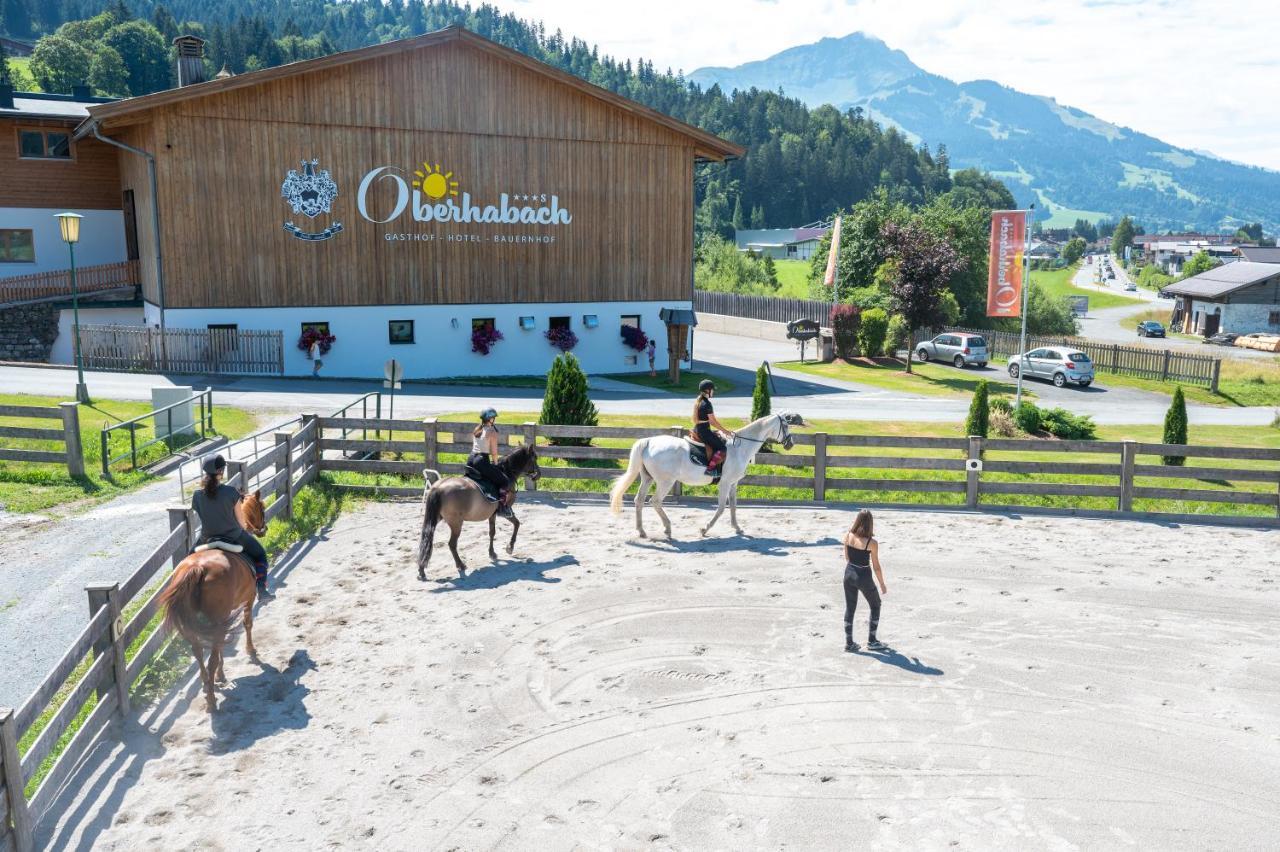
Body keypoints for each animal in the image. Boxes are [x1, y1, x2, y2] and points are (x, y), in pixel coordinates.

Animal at [162, 488, 267, 706]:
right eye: (262, 507)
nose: (264, 529)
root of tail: (197, 568)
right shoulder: (249, 598)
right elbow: (248, 624)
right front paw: (251, 651)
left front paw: (220, 675)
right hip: (217, 617)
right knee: (211, 657)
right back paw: (211, 700)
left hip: (196, 622)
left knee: (199, 652)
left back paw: (206, 684)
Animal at [419, 445, 540, 578]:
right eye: (535, 458)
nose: (538, 474)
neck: (507, 472)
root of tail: (438, 487)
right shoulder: (506, 511)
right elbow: (517, 524)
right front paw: (510, 547)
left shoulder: (492, 514)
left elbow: (492, 532)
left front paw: (492, 553)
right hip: (456, 523)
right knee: (452, 544)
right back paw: (460, 565)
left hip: (436, 518)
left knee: (427, 538)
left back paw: (421, 569)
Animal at [611, 409, 808, 534]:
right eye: (786, 426)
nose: (790, 444)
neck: (741, 447)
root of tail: (649, 441)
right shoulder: (725, 483)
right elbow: (721, 508)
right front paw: (705, 529)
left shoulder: (733, 483)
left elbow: (734, 506)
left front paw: (737, 528)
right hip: (665, 481)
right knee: (655, 501)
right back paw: (667, 528)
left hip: (647, 478)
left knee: (639, 501)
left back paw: (642, 531)